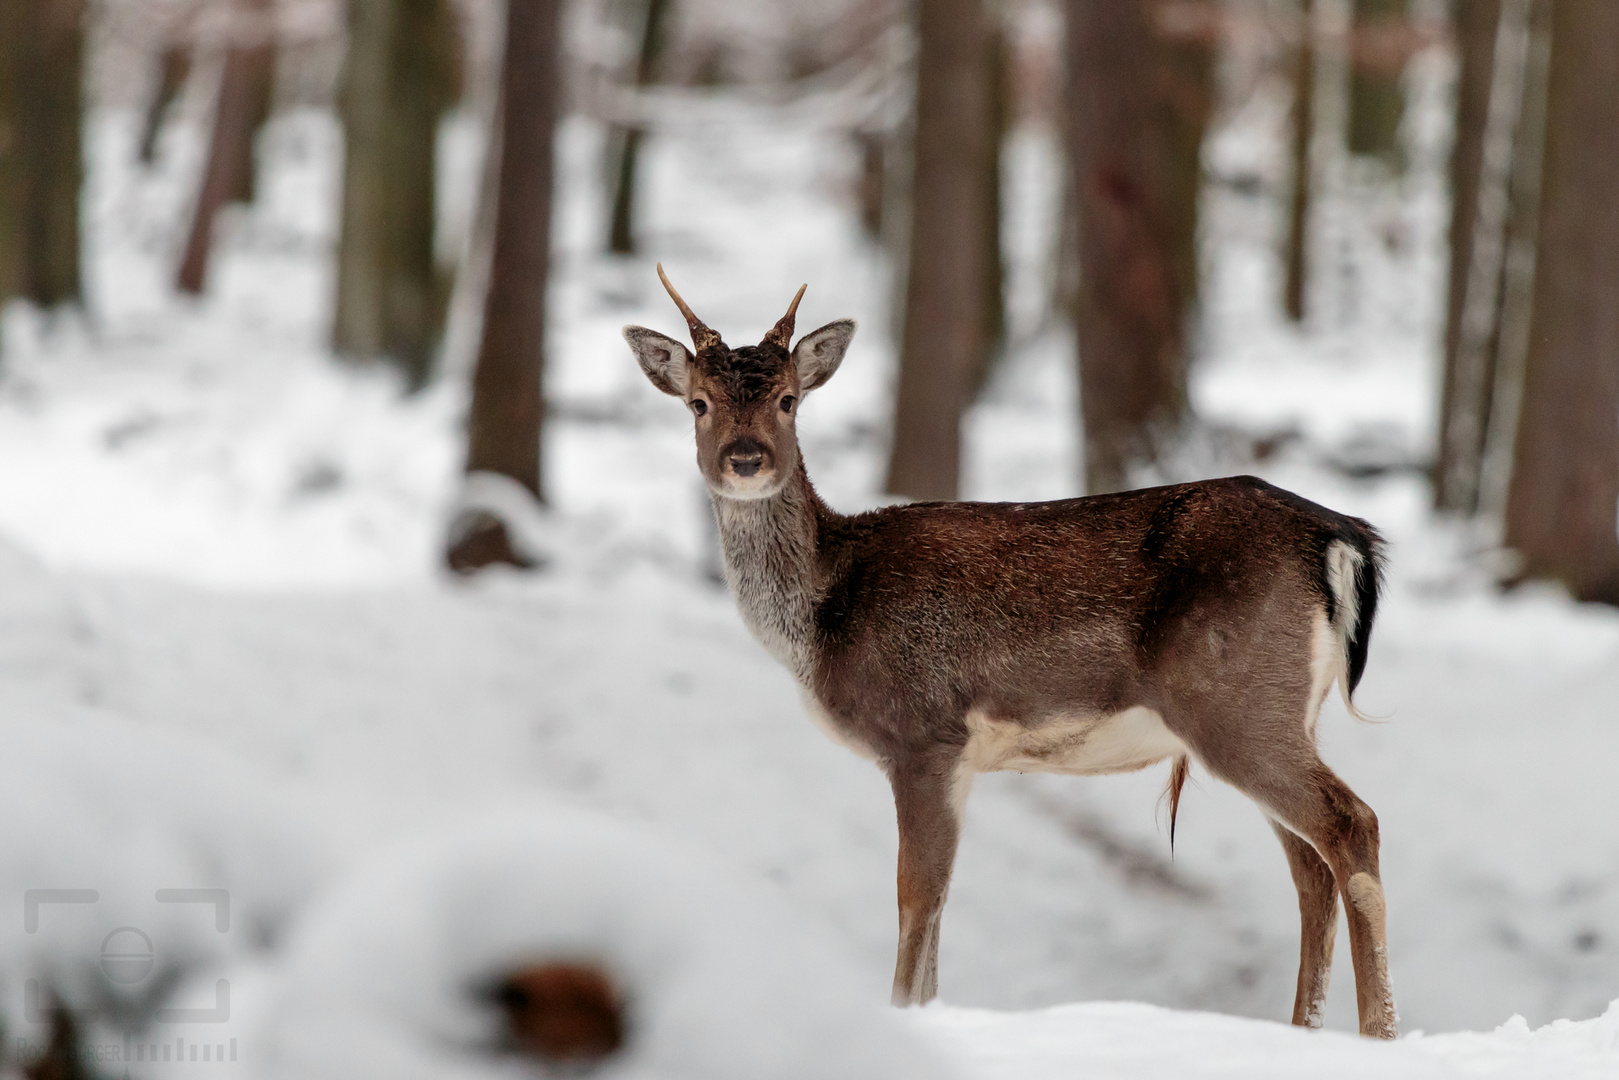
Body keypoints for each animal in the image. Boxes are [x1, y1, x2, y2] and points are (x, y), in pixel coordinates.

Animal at [624, 268, 1398, 1036]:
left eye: (788, 400)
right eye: (698, 402)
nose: (744, 458)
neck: (824, 617)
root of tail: (1343, 536)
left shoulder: (923, 733)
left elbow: (916, 897)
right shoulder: (961, 761)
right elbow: (939, 910)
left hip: (1233, 700)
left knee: (1350, 824)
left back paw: (1379, 1032)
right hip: (1277, 710)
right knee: (1309, 869)